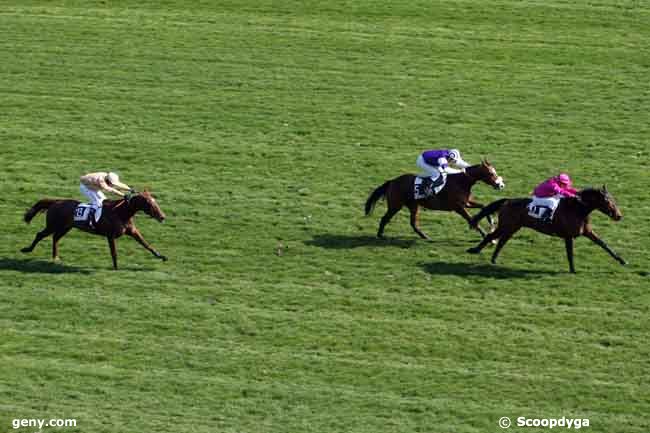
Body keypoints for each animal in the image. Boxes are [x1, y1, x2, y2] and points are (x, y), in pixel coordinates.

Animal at [20, 191, 167, 268]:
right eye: (150, 204)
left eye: (156, 202)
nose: (162, 217)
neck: (121, 213)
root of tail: (55, 202)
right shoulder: (110, 235)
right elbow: (114, 252)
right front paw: (116, 267)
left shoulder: (133, 232)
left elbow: (146, 244)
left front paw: (161, 256)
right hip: (53, 225)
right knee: (40, 234)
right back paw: (27, 249)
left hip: (66, 227)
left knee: (55, 238)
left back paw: (55, 257)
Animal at [362, 160, 504, 240]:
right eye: (491, 173)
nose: (500, 185)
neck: (462, 182)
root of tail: (392, 181)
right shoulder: (458, 207)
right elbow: (472, 220)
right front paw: (486, 236)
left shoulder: (467, 203)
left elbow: (483, 206)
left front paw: (491, 222)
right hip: (395, 205)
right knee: (385, 218)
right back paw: (380, 235)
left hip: (414, 205)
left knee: (413, 223)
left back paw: (425, 236)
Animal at [466, 186, 624, 274]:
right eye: (608, 201)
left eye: (613, 199)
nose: (618, 216)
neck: (577, 209)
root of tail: (507, 201)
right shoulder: (568, 236)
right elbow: (570, 254)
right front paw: (573, 270)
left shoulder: (587, 232)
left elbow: (604, 244)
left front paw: (622, 260)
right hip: (507, 225)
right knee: (491, 236)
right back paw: (475, 250)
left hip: (512, 227)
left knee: (501, 241)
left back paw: (493, 259)